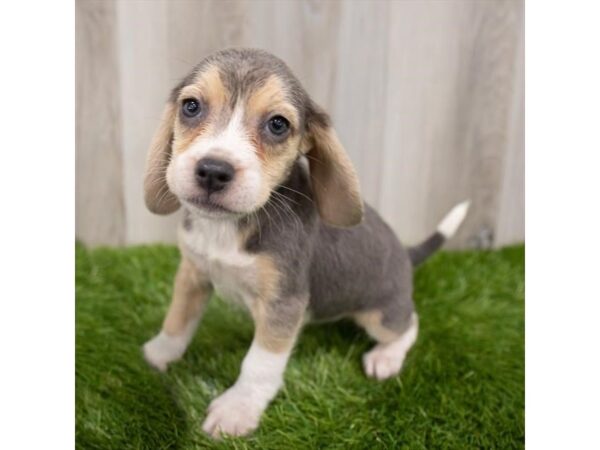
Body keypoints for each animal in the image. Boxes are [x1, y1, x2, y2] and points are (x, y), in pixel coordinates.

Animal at [142, 48, 468, 436]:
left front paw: (238, 409)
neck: (228, 228)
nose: (213, 170)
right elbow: (177, 320)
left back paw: (386, 357)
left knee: (410, 325)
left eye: (278, 124)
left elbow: (259, 364)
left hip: (380, 315)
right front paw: (160, 353)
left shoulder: (285, 304)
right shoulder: (193, 274)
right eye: (191, 106)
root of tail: (406, 253)